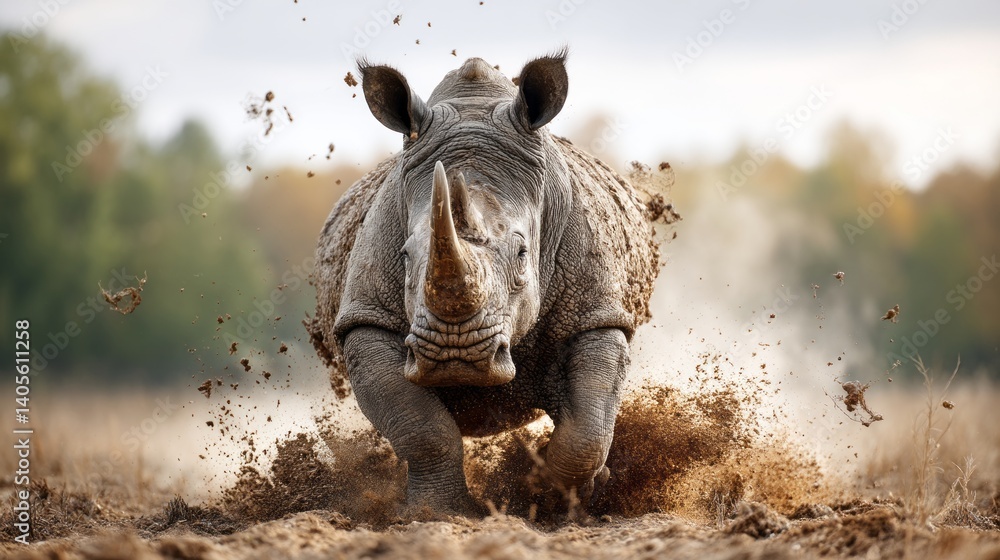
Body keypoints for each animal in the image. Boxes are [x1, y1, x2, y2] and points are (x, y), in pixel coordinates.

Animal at [306, 51, 660, 515]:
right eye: (405, 256)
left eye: (523, 254)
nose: (456, 355)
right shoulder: (366, 317)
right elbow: (421, 429)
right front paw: (439, 513)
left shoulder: (597, 312)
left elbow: (588, 426)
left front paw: (550, 500)